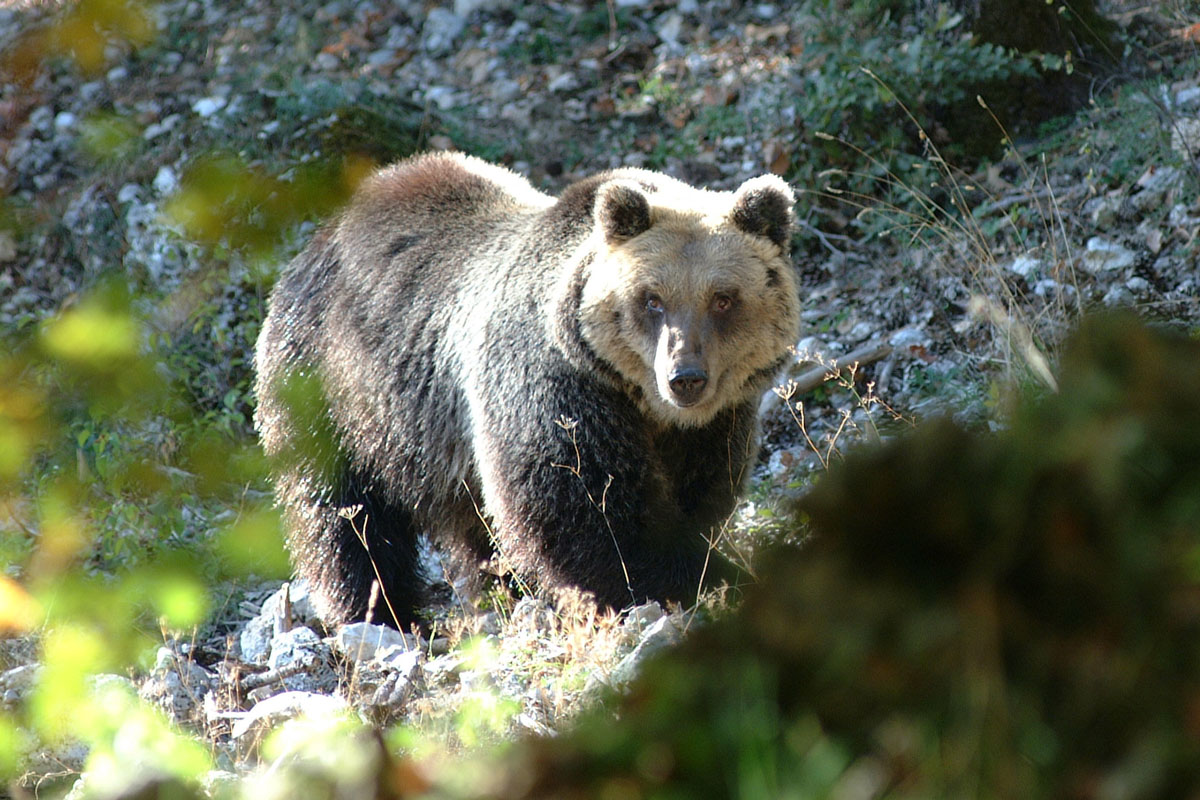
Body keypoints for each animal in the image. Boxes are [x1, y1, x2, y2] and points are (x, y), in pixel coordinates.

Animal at [253, 152, 800, 628]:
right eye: (652, 299)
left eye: (723, 298)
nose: (685, 376)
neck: (643, 403)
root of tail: (320, 236)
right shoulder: (553, 385)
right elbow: (585, 509)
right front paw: (699, 578)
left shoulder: (714, 424)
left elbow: (701, 494)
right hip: (333, 386)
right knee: (342, 514)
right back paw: (381, 613)